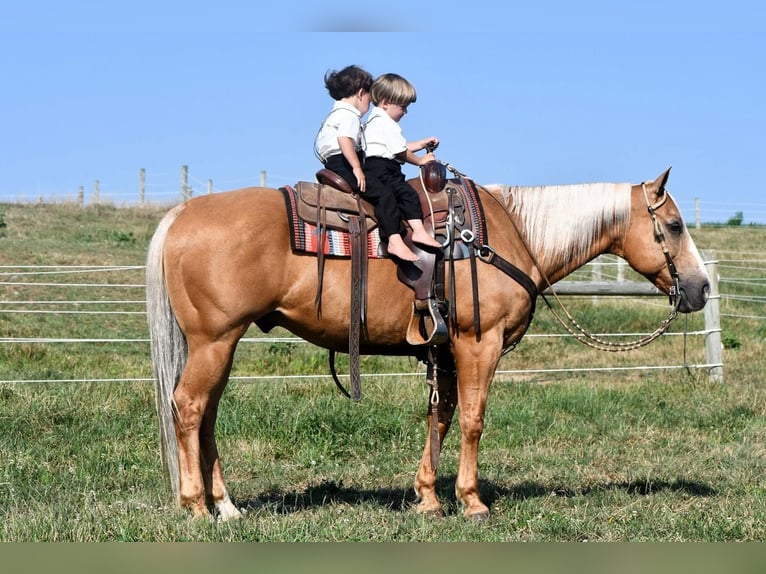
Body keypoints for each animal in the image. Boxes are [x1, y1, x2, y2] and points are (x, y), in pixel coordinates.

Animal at [147, 165, 712, 520]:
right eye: (674, 225)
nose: (702, 288)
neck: (509, 235)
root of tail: (181, 214)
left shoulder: (444, 351)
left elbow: (438, 417)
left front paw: (428, 498)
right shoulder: (478, 343)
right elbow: (472, 420)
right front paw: (471, 501)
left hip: (220, 345)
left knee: (206, 414)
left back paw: (227, 506)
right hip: (215, 340)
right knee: (189, 407)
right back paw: (196, 504)